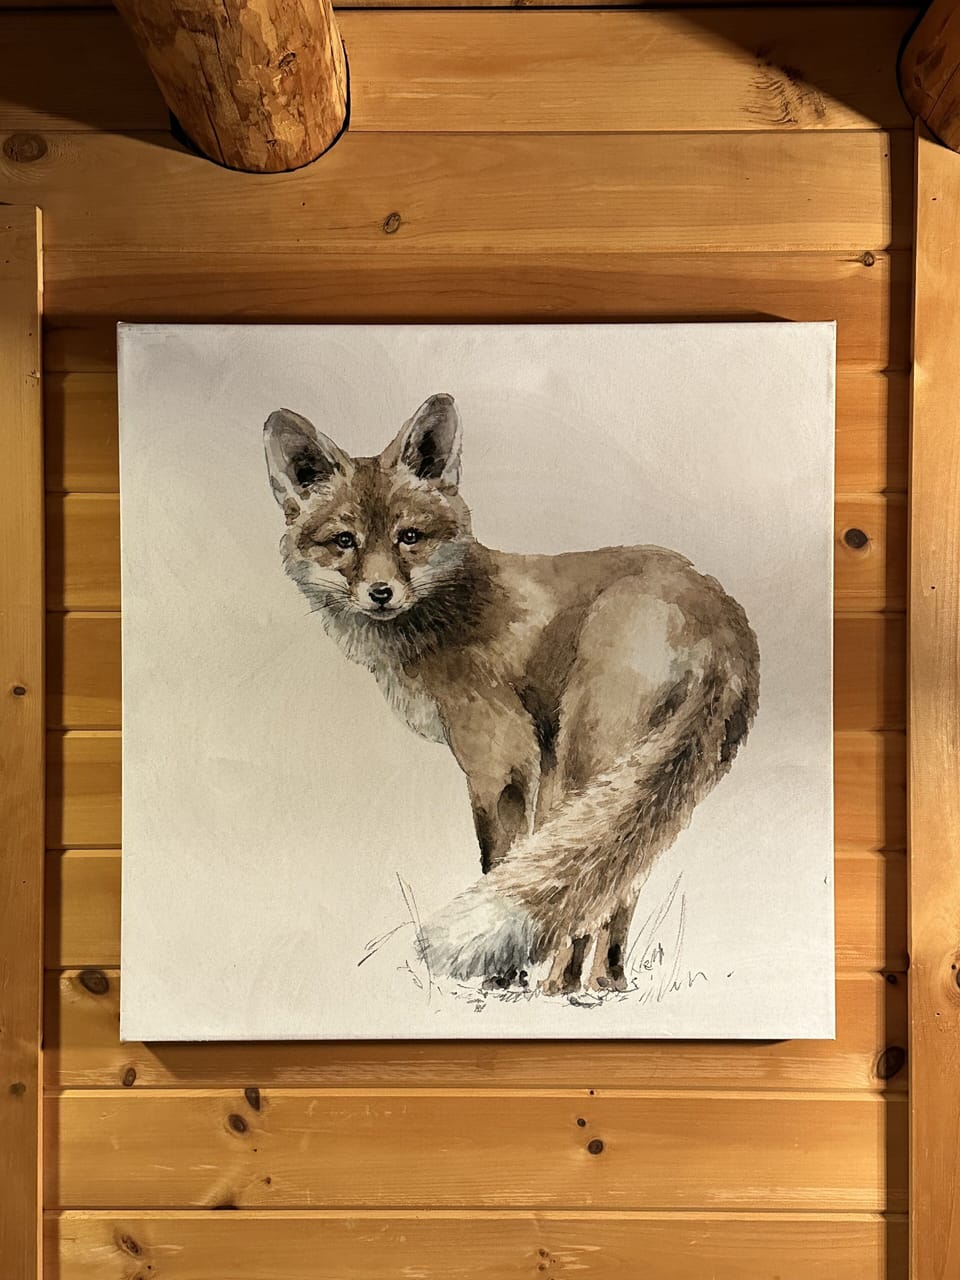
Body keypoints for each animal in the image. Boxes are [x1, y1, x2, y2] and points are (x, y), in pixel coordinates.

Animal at [264, 393, 760, 995]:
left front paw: (504, 982)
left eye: (409, 537)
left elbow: (499, 860)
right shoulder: (536, 755)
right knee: (621, 880)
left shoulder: (499, 757)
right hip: (620, 769)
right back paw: (605, 986)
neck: (448, 608)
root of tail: (721, 613)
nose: (381, 593)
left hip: (587, 755)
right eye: (344, 541)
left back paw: (560, 988)